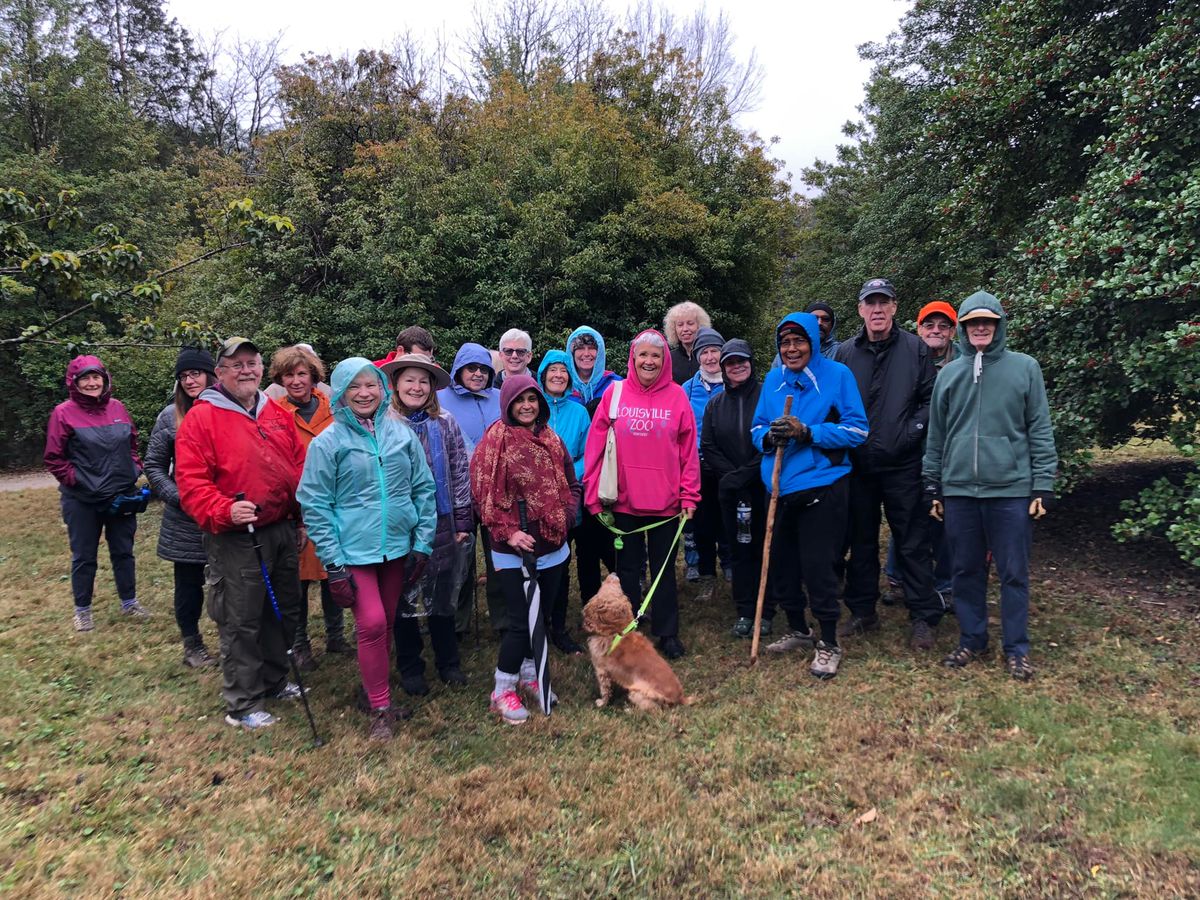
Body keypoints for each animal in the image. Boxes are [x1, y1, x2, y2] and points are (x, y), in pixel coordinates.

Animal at [583, 578, 696, 710]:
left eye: (606, 587)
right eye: (620, 590)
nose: (614, 576)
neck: (616, 631)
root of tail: (681, 698)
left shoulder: (602, 671)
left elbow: (605, 691)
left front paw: (601, 703)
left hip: (636, 693)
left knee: (654, 709)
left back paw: (629, 710)